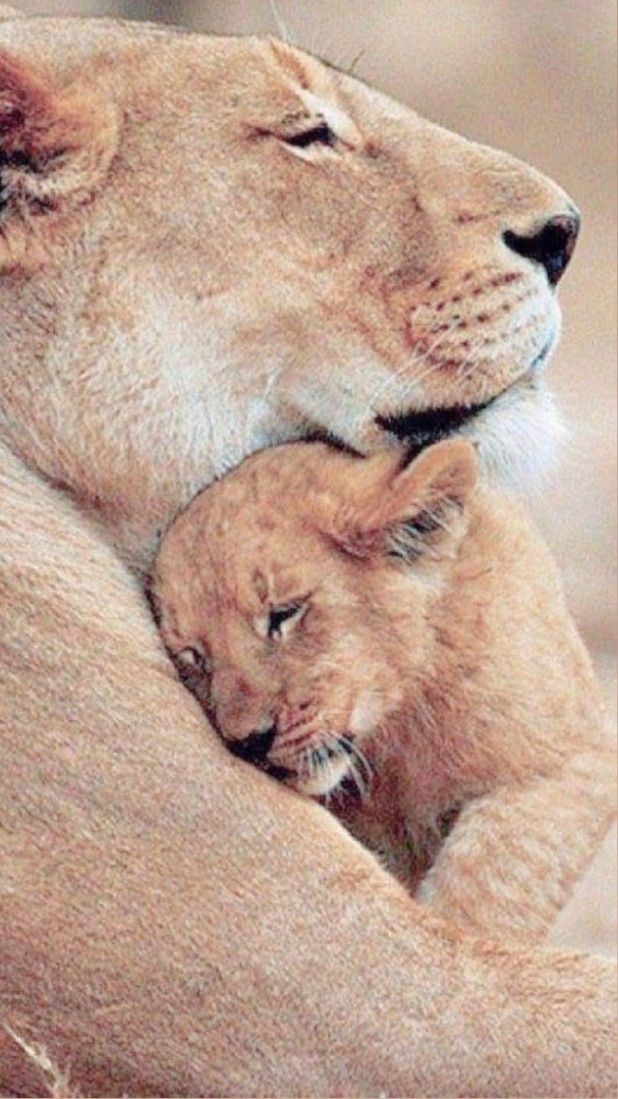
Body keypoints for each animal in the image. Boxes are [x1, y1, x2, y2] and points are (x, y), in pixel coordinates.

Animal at [151, 437, 616, 944]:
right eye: (194, 656)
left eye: (284, 613)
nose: (249, 742)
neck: (395, 734)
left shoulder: (574, 760)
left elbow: (492, 878)